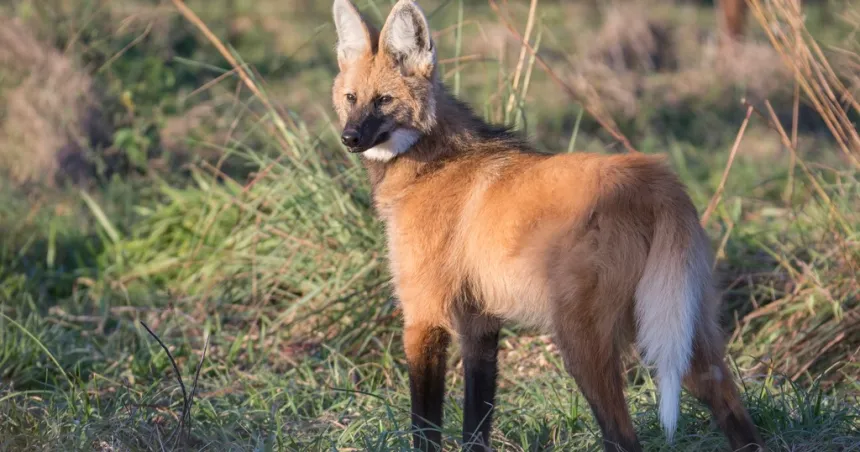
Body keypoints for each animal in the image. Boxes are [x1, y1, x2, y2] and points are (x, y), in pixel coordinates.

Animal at [330, 0, 764, 452]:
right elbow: (476, 422)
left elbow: (425, 427)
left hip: (581, 342)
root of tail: (659, 180)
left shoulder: (424, 316)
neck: (432, 163)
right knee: (730, 406)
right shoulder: (480, 322)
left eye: (383, 101)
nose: (349, 137)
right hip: (682, 325)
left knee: (623, 436)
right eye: (351, 98)